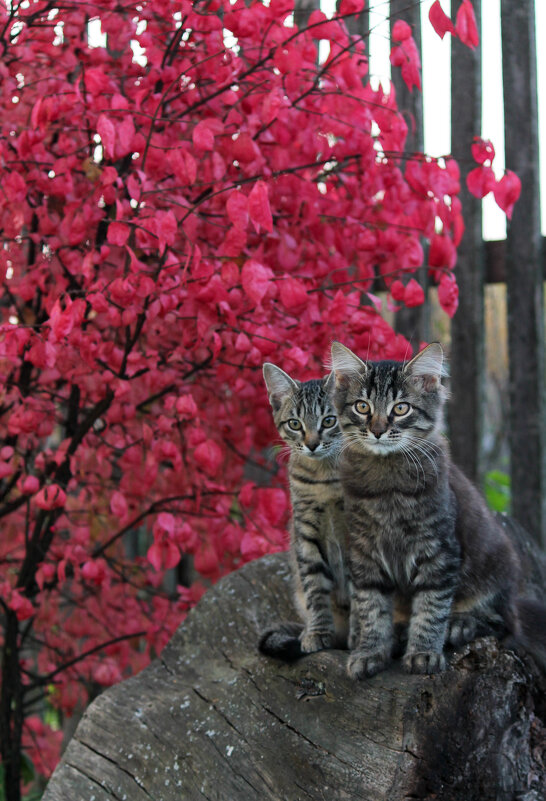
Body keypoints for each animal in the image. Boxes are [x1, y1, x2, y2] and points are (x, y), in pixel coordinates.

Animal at [258, 366, 350, 660]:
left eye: (330, 421)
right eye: (295, 424)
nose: (311, 444)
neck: (324, 479)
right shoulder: (306, 533)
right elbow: (315, 588)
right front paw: (318, 632)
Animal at [328, 340, 540, 680]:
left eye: (401, 409)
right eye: (362, 407)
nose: (377, 430)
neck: (387, 483)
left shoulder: (439, 551)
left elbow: (431, 607)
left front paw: (424, 653)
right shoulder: (365, 553)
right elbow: (371, 608)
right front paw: (369, 652)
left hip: (496, 568)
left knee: (503, 624)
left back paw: (459, 624)